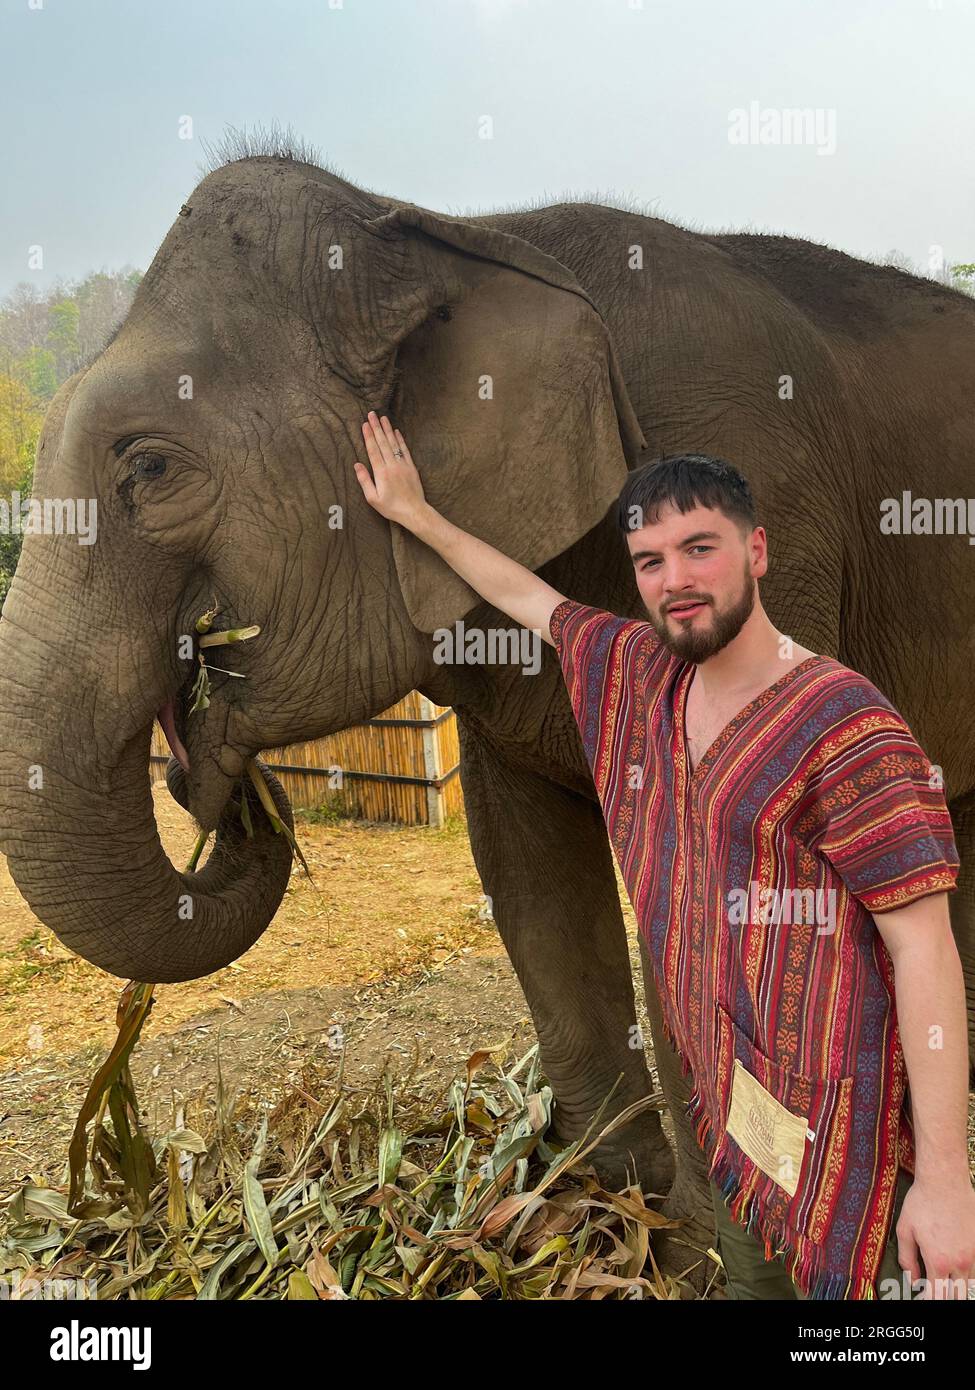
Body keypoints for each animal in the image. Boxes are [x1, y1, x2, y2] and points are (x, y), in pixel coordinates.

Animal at [1, 146, 973, 1284]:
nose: (221, 779)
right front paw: (599, 1207)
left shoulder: (771, 507)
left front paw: (716, 1265)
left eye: (147, 466)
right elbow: (525, 864)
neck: (450, 232)